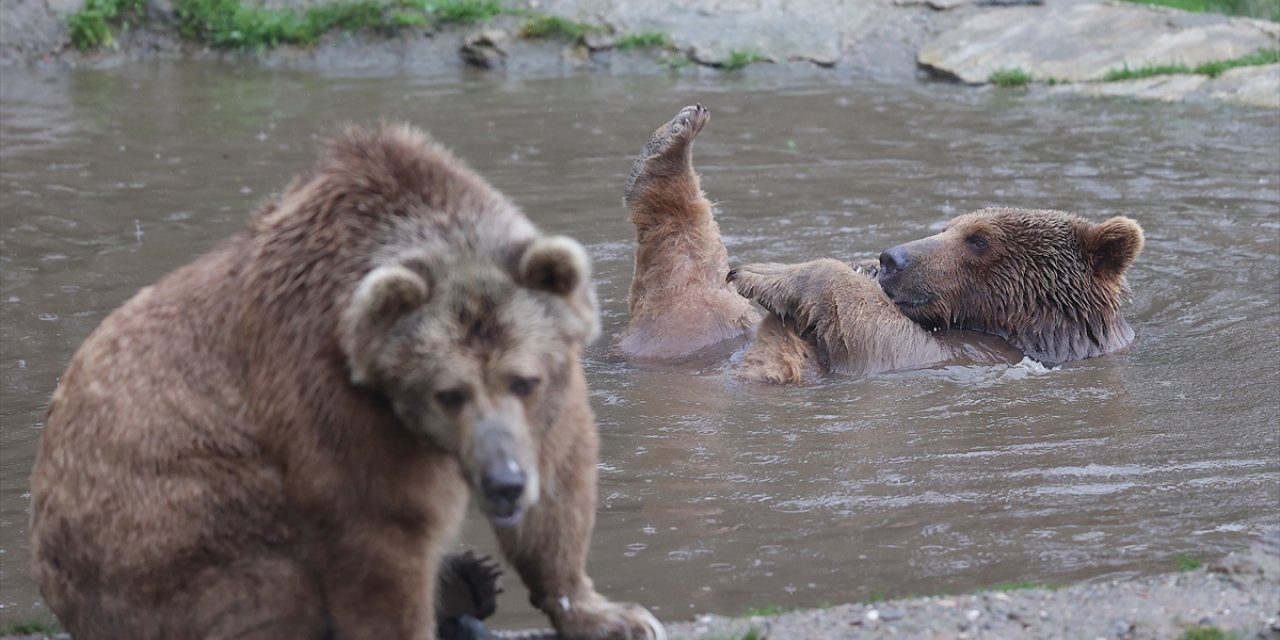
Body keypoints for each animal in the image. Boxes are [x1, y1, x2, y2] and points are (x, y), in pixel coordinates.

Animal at [28, 122, 665, 637]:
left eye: (523, 381)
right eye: (449, 394)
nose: (503, 482)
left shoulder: (550, 398)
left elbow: (559, 486)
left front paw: (613, 614)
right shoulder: (327, 392)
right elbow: (378, 533)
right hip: (166, 532)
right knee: (261, 580)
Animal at [624, 106, 1146, 384]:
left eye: (978, 239)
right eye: (949, 225)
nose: (891, 257)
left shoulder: (966, 356)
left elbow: (875, 332)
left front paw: (769, 272)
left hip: (688, 327)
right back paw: (673, 139)